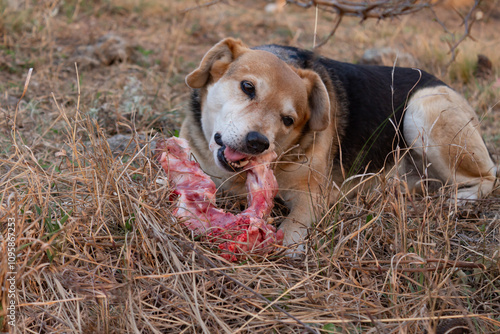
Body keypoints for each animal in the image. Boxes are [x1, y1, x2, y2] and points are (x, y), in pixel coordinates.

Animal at [179, 37, 496, 250]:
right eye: (247, 87)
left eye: (288, 120)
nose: (258, 143)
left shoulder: (312, 196)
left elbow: (292, 226)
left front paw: (288, 246)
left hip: (422, 109)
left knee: (488, 176)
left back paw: (460, 200)